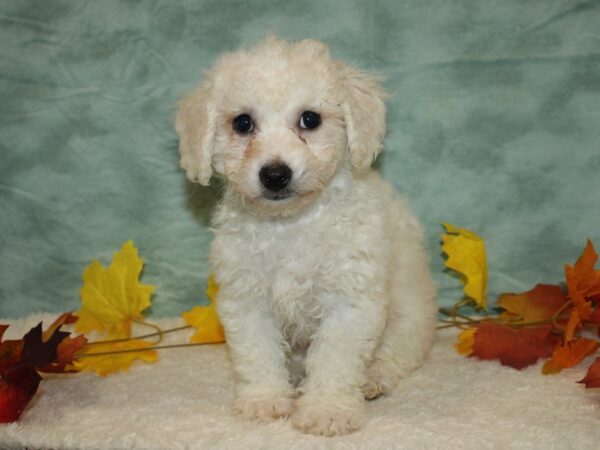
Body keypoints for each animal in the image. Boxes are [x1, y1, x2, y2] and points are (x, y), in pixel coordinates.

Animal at [175, 36, 436, 436]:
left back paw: (373, 379)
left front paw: (327, 410)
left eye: (310, 119)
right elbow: (257, 353)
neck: (290, 224)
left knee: (398, 354)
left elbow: (335, 359)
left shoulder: (350, 299)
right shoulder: (246, 297)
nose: (275, 174)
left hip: (410, 315)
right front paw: (265, 400)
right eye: (243, 123)